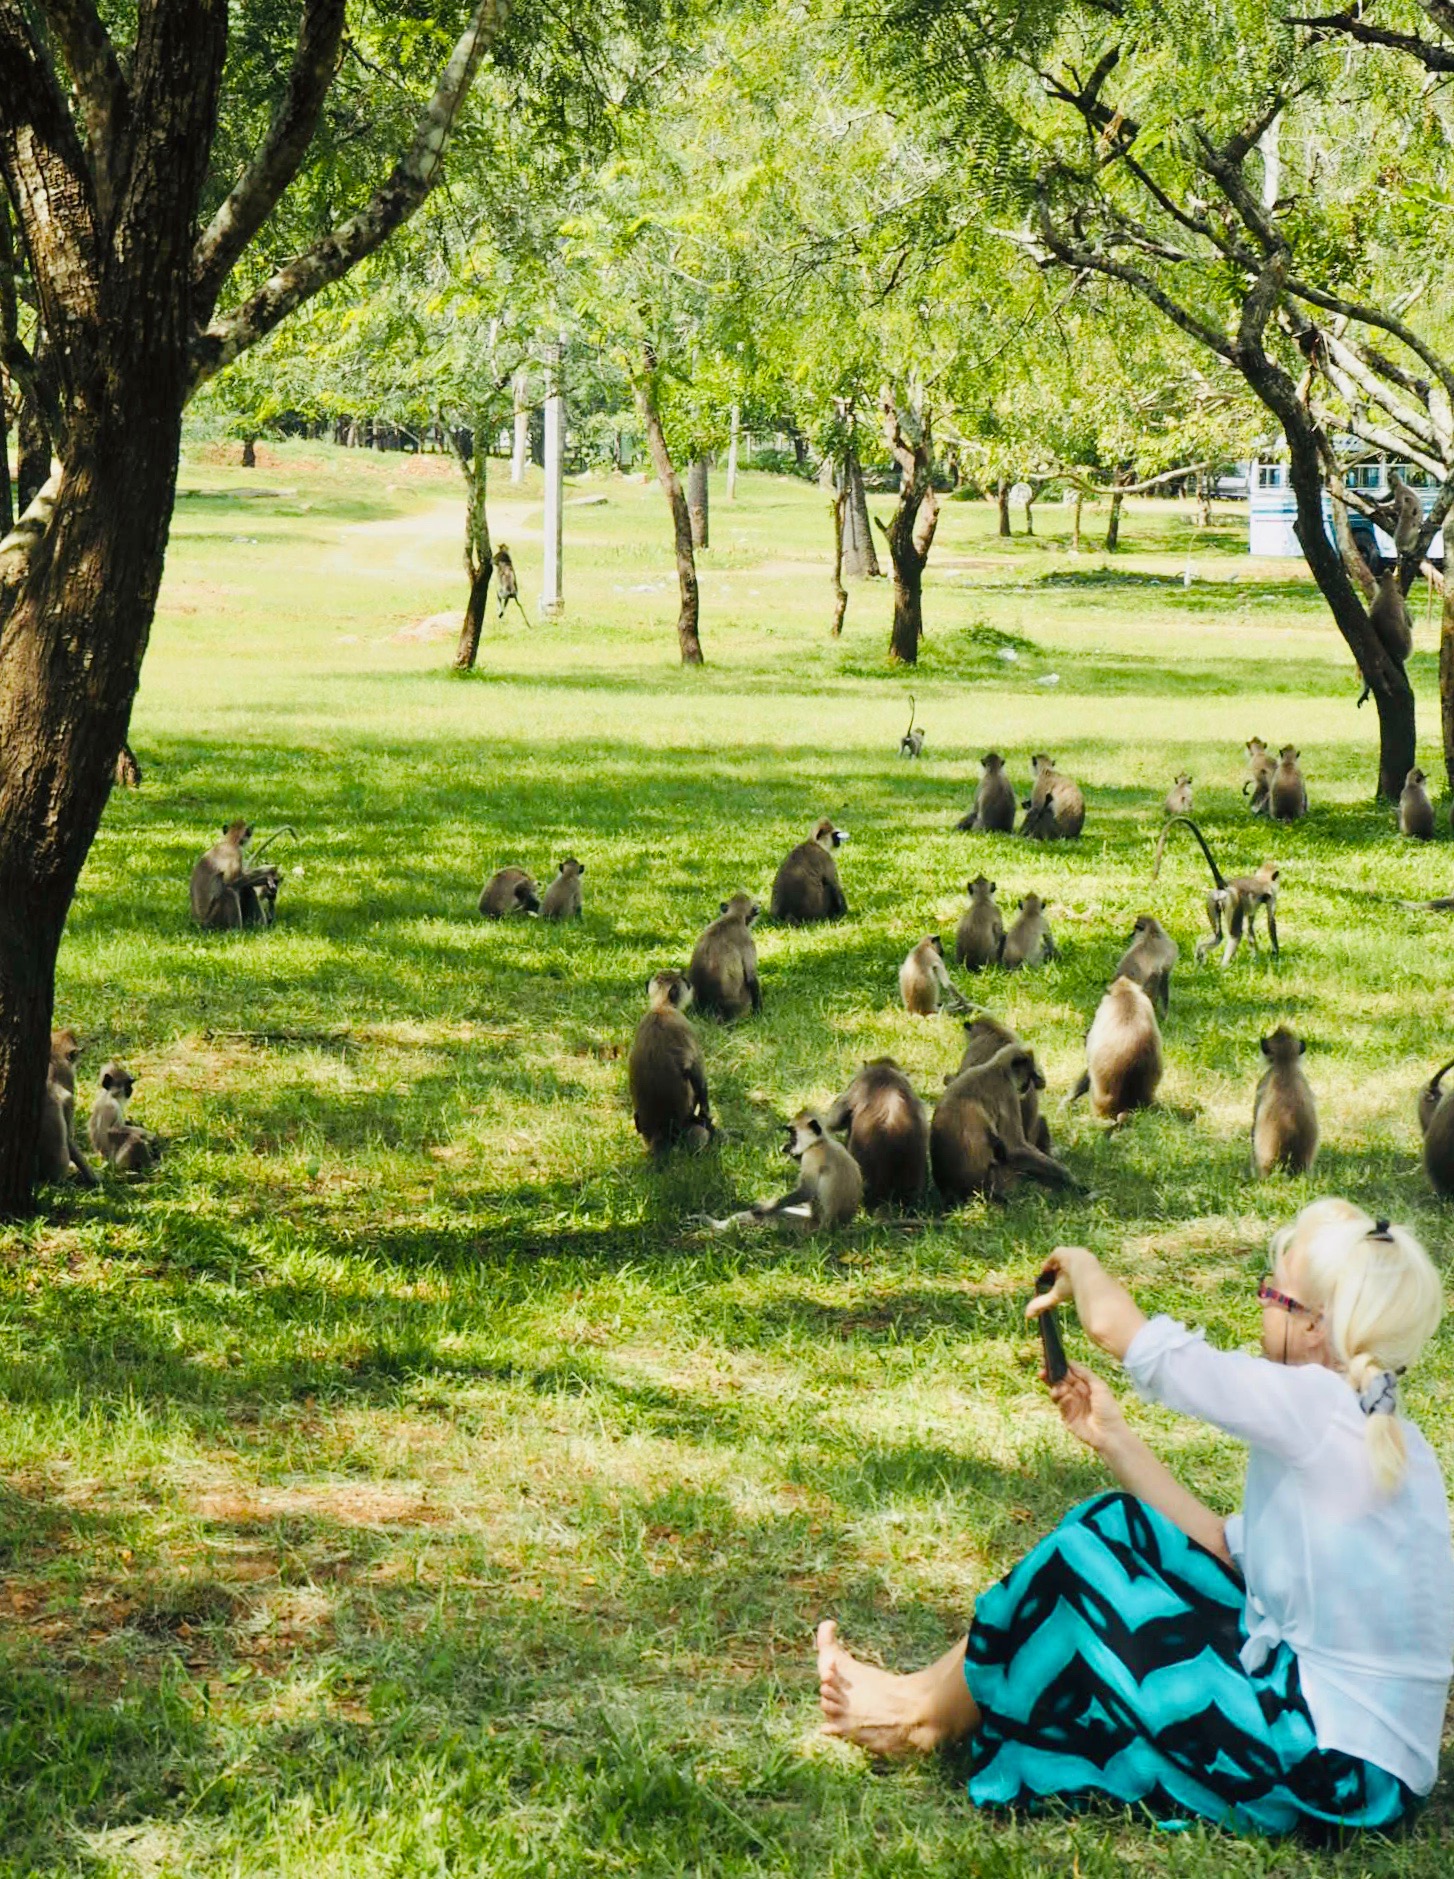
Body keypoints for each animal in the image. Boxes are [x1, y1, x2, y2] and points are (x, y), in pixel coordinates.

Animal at [628, 971, 713, 1153]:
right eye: (684, 980)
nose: (689, 982)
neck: (661, 1007)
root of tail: (660, 1132)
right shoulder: (684, 1025)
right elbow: (697, 1073)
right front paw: (706, 1115)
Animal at [931, 1043, 1079, 1204]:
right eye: (1030, 1076)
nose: (1030, 1085)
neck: (996, 1067)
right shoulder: (1008, 1091)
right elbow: (1014, 1148)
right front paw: (1071, 1181)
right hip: (1000, 1179)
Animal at [1153, 817, 1280, 965]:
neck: (1261, 878)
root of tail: (1223, 885)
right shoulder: (1272, 894)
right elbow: (1270, 922)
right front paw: (1275, 955)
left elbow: (1250, 927)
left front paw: (1257, 960)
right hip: (1233, 902)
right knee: (1235, 935)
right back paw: (1223, 967)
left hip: (1211, 900)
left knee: (1218, 936)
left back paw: (1200, 959)